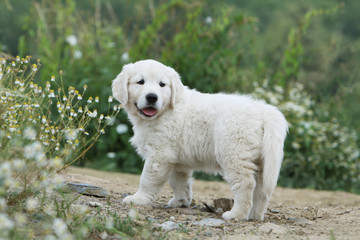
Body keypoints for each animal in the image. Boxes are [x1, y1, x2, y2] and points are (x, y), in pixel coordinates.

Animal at [111, 59, 288, 220]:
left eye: (162, 84)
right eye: (140, 82)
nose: (152, 97)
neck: (165, 111)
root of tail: (264, 110)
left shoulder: (159, 155)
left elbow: (147, 179)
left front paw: (138, 198)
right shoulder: (175, 160)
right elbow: (179, 182)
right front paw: (180, 201)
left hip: (234, 153)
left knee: (246, 184)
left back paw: (236, 214)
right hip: (262, 160)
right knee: (262, 190)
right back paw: (255, 215)